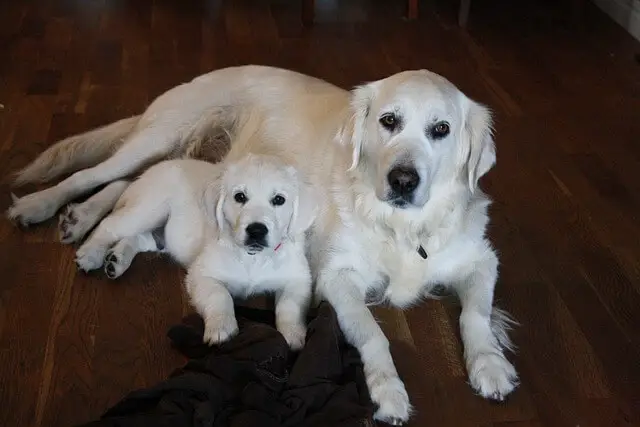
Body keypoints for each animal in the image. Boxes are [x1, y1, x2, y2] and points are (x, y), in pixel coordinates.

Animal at [75, 155, 318, 352]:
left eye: (279, 200)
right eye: (239, 197)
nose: (256, 231)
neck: (253, 258)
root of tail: (144, 174)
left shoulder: (299, 279)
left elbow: (290, 305)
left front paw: (293, 335)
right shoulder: (201, 274)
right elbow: (220, 295)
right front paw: (221, 329)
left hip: (161, 234)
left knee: (138, 238)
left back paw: (116, 260)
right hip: (150, 209)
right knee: (110, 225)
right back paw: (90, 254)